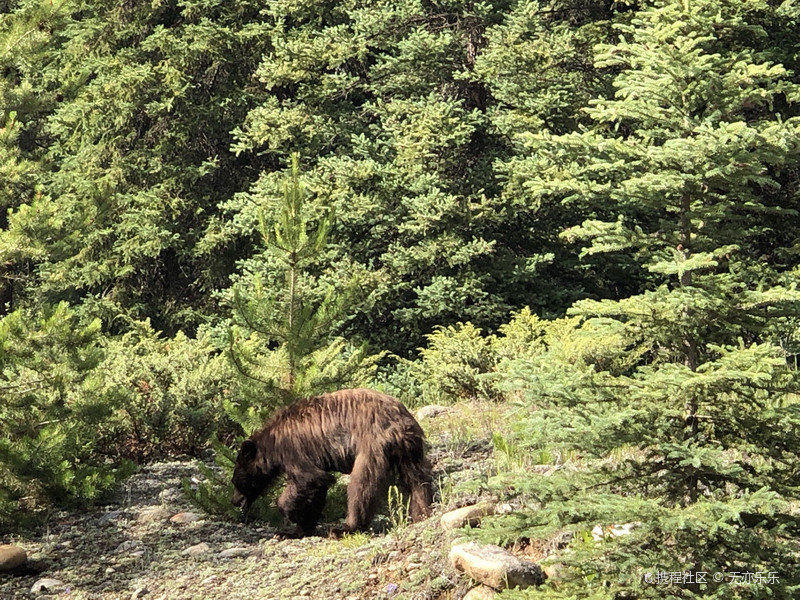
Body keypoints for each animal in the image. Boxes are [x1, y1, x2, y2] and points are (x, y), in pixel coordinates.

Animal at [231, 388, 433, 536]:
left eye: (236, 481)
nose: (235, 501)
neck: (270, 446)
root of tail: (399, 420)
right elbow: (318, 488)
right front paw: (297, 530)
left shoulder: (292, 450)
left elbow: (308, 479)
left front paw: (289, 513)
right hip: (410, 448)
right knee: (417, 480)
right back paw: (421, 513)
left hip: (371, 444)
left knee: (361, 486)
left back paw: (346, 527)